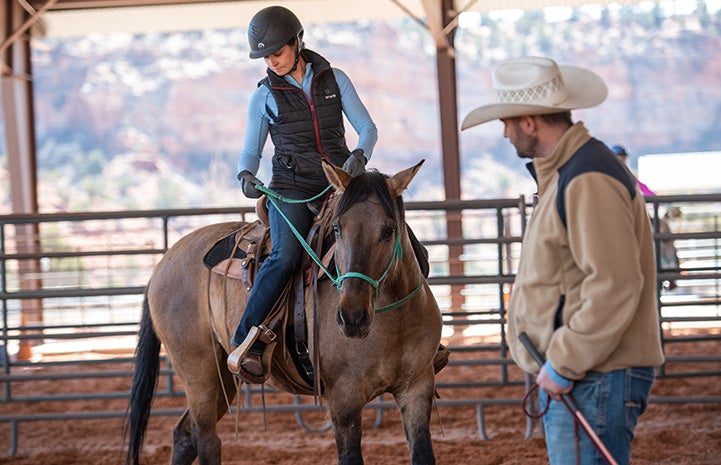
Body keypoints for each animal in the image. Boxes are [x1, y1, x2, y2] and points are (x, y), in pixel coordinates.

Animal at [124, 160, 442, 464]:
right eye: (337, 229)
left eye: (389, 230)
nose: (352, 317)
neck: (396, 321)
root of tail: (162, 264)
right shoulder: (344, 401)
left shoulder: (417, 388)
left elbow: (423, 454)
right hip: (199, 374)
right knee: (206, 440)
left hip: (222, 379)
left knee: (185, 434)